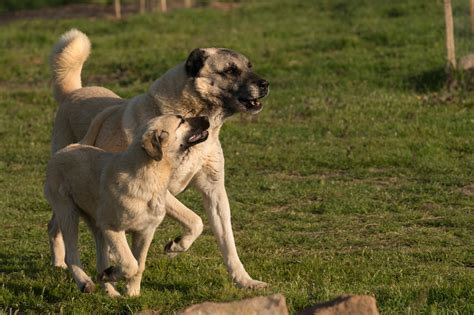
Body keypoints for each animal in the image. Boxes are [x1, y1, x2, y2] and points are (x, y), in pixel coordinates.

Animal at [45, 115, 211, 298]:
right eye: (181, 121)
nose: (206, 117)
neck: (149, 174)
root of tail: (67, 148)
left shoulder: (145, 231)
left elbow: (139, 265)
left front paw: (131, 292)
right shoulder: (112, 229)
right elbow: (130, 263)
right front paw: (115, 276)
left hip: (96, 224)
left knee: (100, 261)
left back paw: (110, 291)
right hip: (68, 212)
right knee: (71, 254)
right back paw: (85, 282)